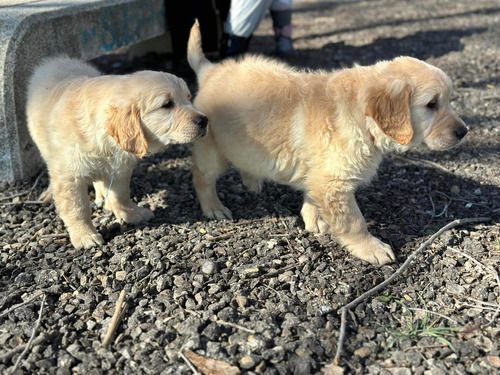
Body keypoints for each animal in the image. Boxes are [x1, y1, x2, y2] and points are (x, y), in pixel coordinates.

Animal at [26, 57, 207, 251]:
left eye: (188, 98)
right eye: (167, 105)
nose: (204, 120)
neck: (105, 141)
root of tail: (56, 61)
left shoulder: (120, 168)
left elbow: (120, 194)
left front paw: (130, 212)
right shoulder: (69, 176)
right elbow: (77, 206)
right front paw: (84, 235)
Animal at [188, 22, 468, 266]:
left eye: (449, 100)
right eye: (432, 104)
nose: (464, 132)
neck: (360, 117)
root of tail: (211, 70)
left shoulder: (320, 175)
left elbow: (312, 197)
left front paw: (315, 220)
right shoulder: (333, 183)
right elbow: (354, 222)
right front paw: (371, 248)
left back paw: (253, 182)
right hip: (211, 150)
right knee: (202, 178)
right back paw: (213, 208)